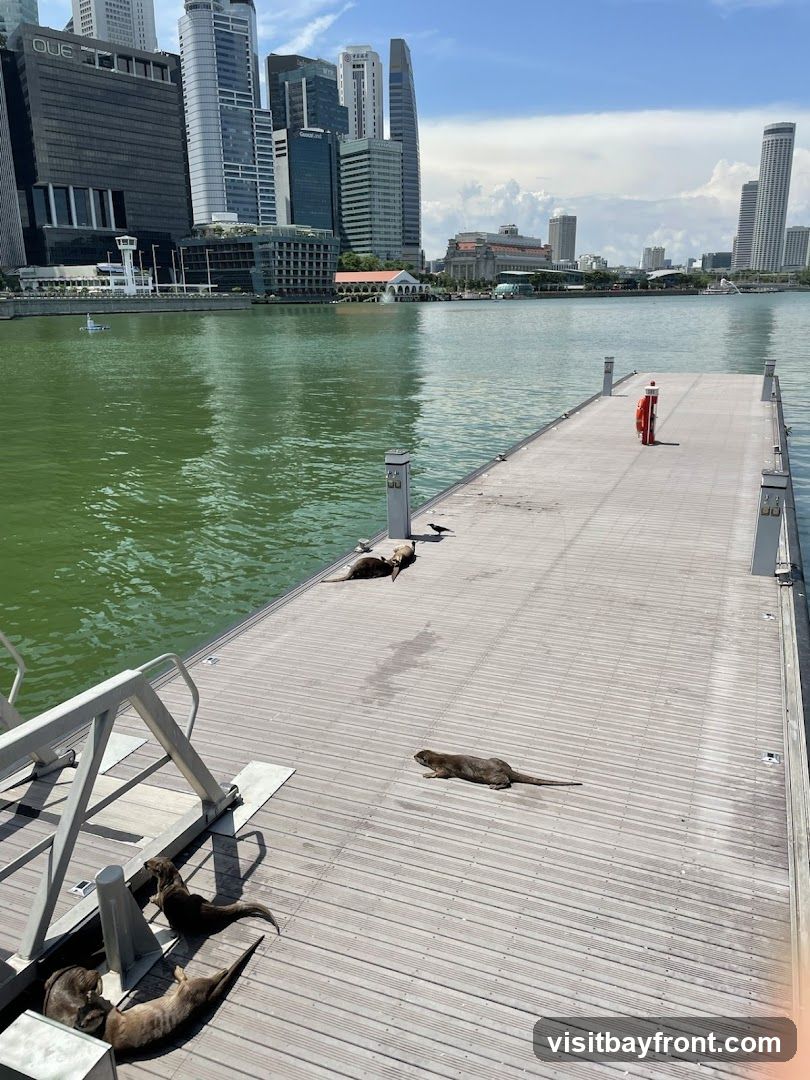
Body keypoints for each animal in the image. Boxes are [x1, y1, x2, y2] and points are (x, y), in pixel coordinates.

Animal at [44, 937, 263, 1055]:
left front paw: (92, 995)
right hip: (192, 990)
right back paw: (205, 971)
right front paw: (94, 995)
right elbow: (107, 1005)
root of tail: (202, 1004)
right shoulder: (112, 1016)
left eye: (84, 1015)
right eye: (87, 1020)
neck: (103, 1031)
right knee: (201, 979)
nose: (86, 1018)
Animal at [145, 857, 280, 936]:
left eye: (149, 865)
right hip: (197, 896)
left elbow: (157, 900)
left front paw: (151, 897)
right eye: (151, 858)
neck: (170, 881)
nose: (144, 863)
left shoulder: (161, 896)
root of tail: (208, 909)